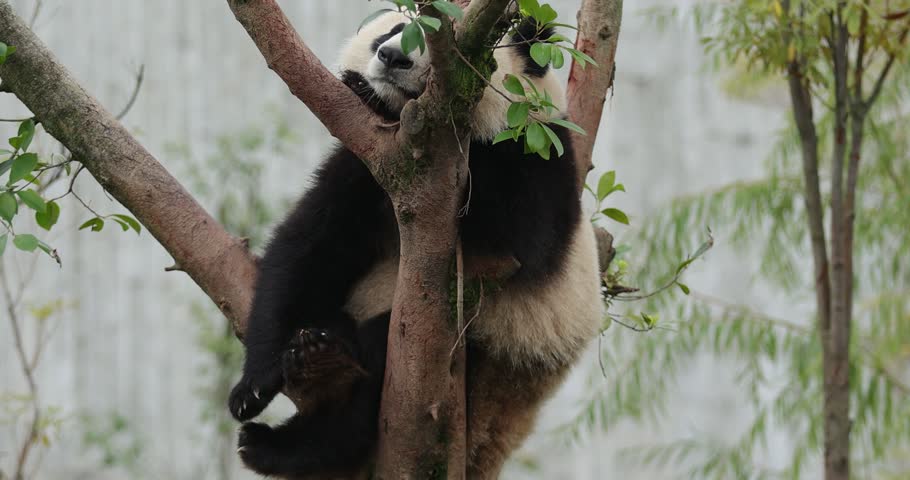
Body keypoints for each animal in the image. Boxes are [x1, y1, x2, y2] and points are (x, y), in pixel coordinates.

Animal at [228, 9, 603, 479]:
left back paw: (285, 439)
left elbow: (512, 241)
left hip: (497, 344)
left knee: (372, 379)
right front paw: (251, 388)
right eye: (391, 31)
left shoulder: (536, 160)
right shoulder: (369, 164)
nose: (392, 57)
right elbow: (307, 249)